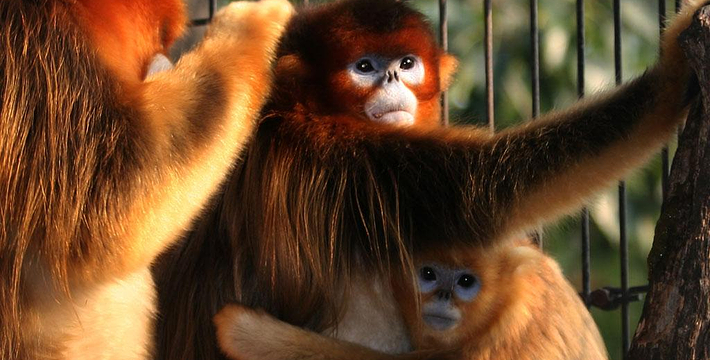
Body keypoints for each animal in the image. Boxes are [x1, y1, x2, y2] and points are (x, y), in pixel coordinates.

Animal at [154, 0, 700, 358]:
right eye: (365, 66)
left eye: (407, 63)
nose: (393, 80)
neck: (297, 108)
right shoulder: (333, 154)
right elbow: (487, 193)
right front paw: (673, 73)